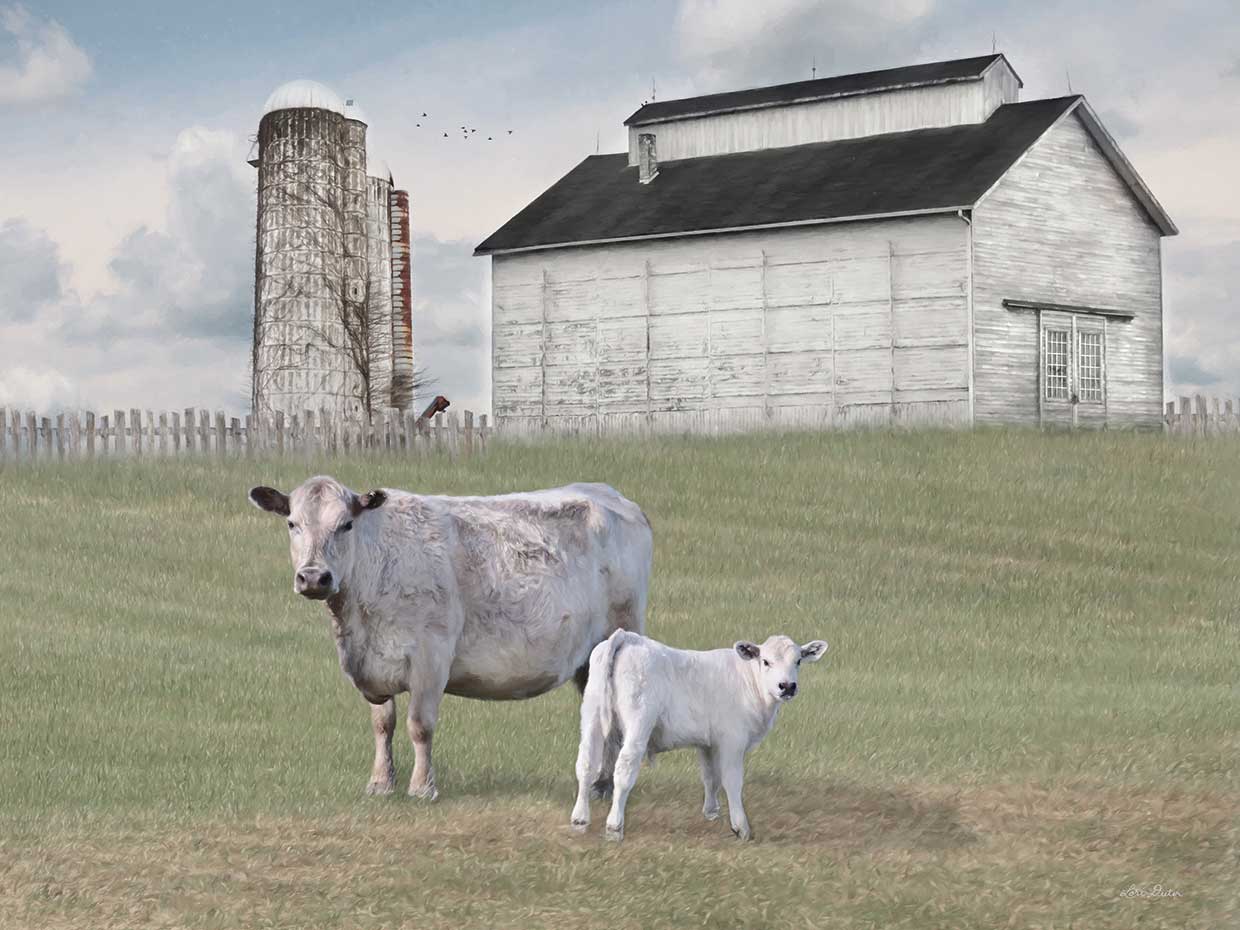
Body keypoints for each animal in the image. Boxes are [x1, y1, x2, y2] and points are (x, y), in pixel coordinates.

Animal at [248, 475, 652, 801]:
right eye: (292, 523)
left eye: (345, 525)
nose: (314, 577)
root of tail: (611, 495)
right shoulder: (374, 665)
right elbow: (383, 725)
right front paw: (380, 783)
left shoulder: (431, 656)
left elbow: (419, 725)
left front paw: (422, 787)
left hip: (619, 631)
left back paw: (604, 785)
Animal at [570, 630, 828, 841]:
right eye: (766, 661)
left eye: (798, 661)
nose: (787, 686)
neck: (750, 683)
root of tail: (628, 637)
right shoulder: (732, 740)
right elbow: (732, 780)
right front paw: (741, 827)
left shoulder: (707, 743)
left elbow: (710, 777)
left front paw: (711, 813)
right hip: (638, 721)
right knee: (624, 768)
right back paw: (614, 826)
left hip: (591, 714)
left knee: (586, 764)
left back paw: (580, 819)